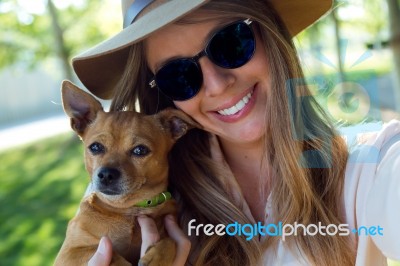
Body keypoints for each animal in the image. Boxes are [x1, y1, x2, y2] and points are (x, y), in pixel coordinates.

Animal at [54, 81, 198, 266]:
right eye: (95, 147)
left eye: (140, 150)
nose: (106, 174)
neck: (130, 210)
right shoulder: (69, 253)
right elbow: (111, 255)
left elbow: (170, 241)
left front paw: (157, 258)